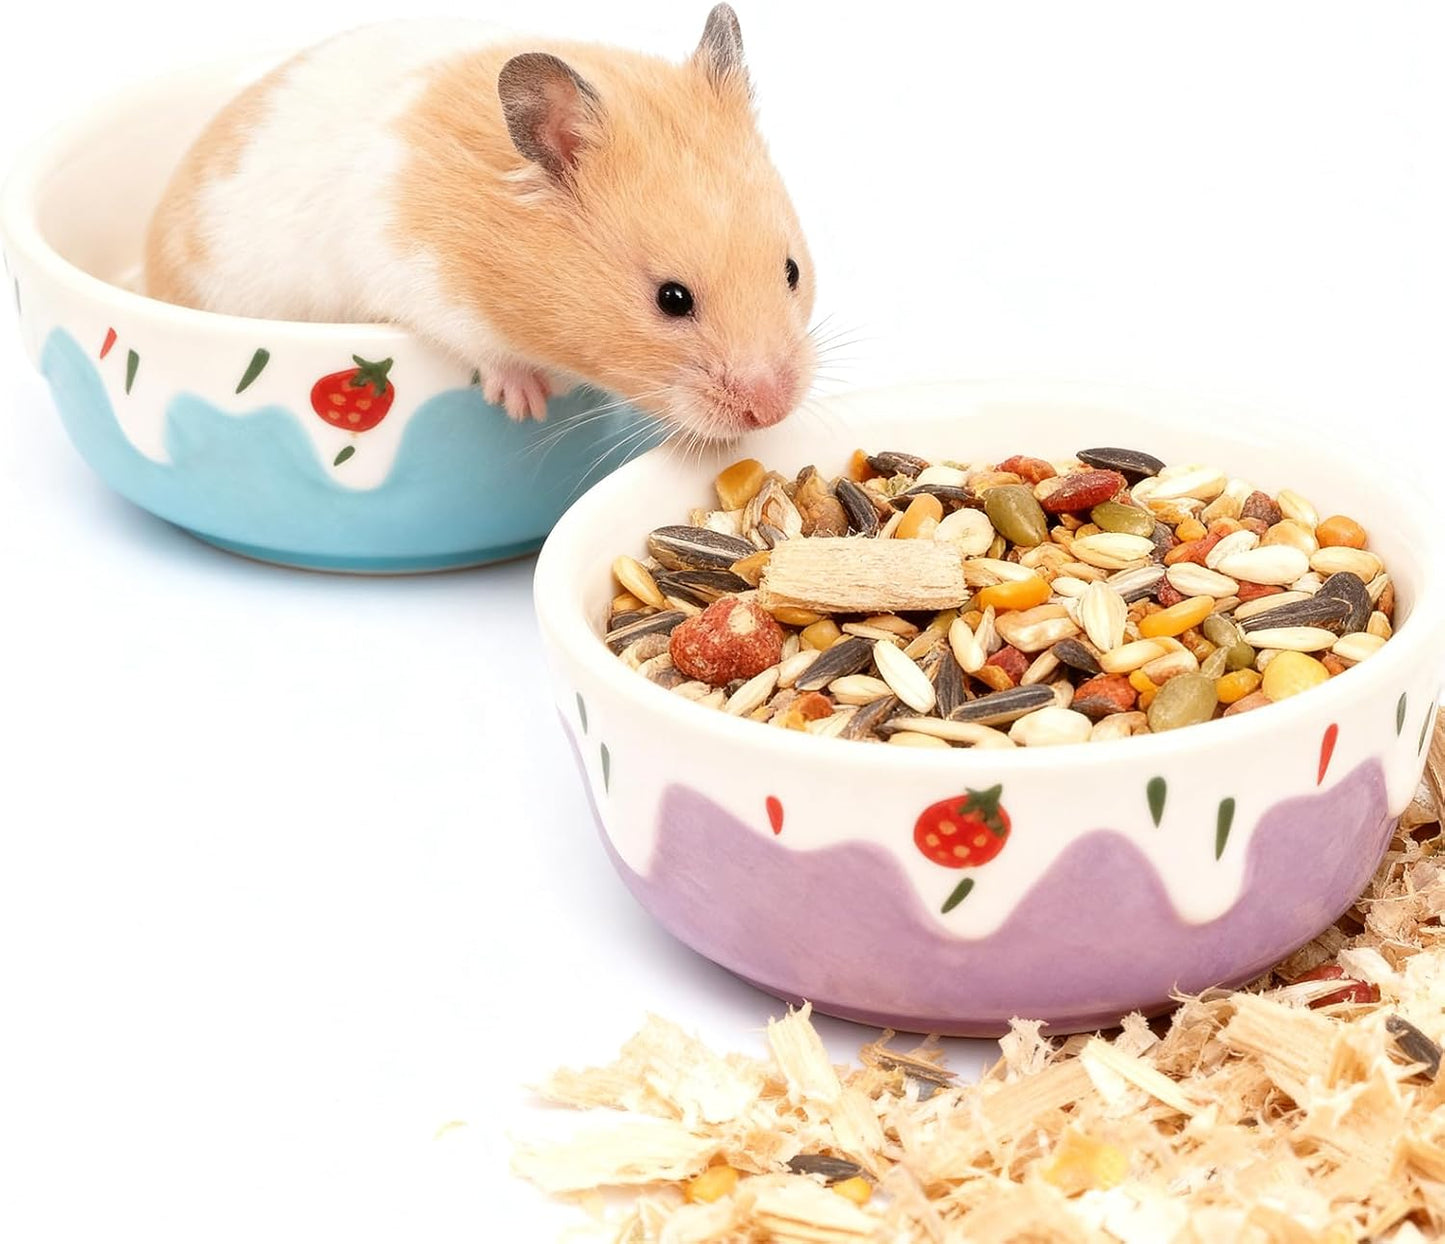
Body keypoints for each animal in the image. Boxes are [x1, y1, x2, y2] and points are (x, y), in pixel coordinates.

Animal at [143, 8, 817, 437]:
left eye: (791, 271)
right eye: (672, 299)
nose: (774, 412)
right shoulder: (415, 271)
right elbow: (481, 346)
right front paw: (527, 405)